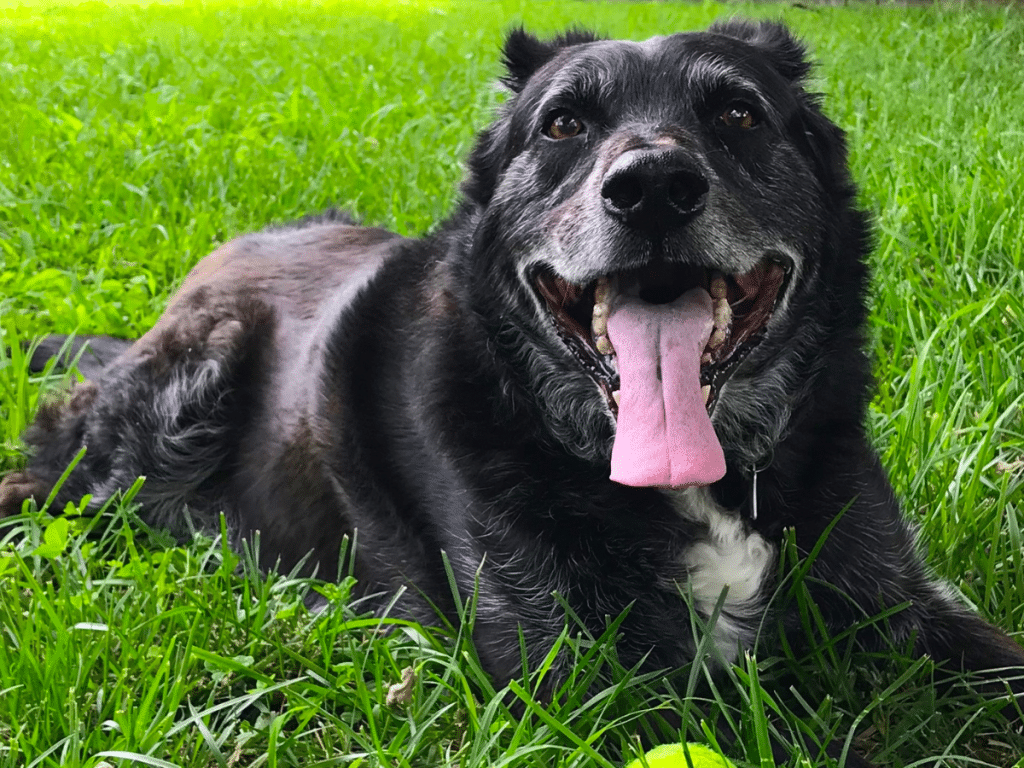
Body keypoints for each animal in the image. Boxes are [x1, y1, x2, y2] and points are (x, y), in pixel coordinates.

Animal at [2, 19, 1024, 765]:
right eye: (563, 124)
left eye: (738, 114)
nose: (653, 186)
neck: (691, 478)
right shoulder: (578, 683)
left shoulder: (900, 600)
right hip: (174, 402)